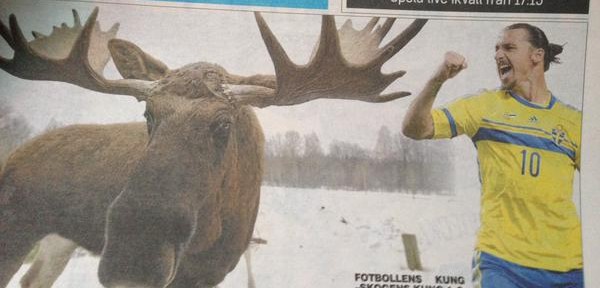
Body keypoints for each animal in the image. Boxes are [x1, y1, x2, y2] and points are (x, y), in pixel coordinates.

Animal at [0, 6, 426, 288]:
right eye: (148, 114)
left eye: (224, 123)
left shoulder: (212, 273)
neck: (215, 235)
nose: (132, 256)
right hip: (16, 229)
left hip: (58, 240)